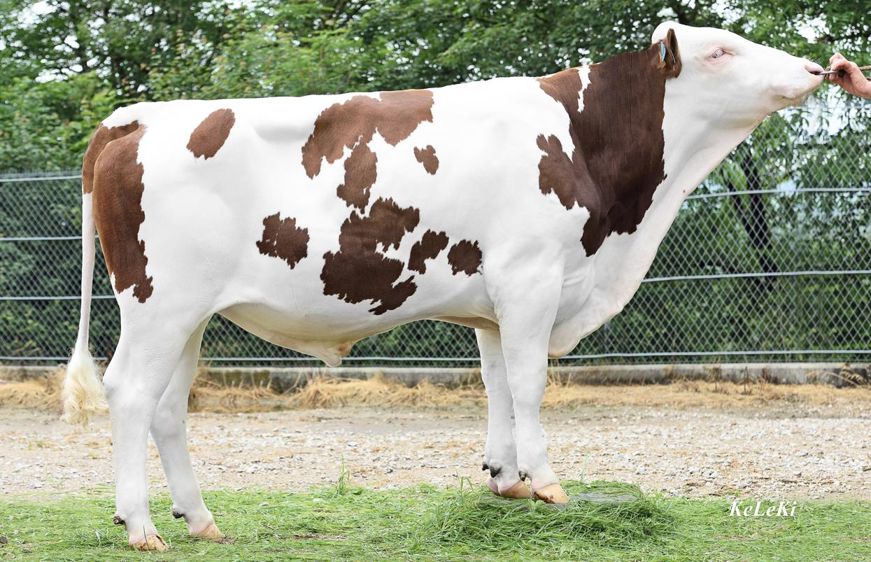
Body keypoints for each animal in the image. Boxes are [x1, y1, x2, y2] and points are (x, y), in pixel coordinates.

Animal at [62, 22, 823, 550]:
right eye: (720, 51)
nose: (818, 66)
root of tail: (133, 117)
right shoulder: (530, 277)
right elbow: (529, 384)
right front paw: (547, 484)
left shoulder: (493, 304)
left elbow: (497, 386)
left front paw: (505, 480)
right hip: (158, 304)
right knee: (129, 393)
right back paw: (139, 525)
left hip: (190, 315)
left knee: (167, 407)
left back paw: (200, 520)